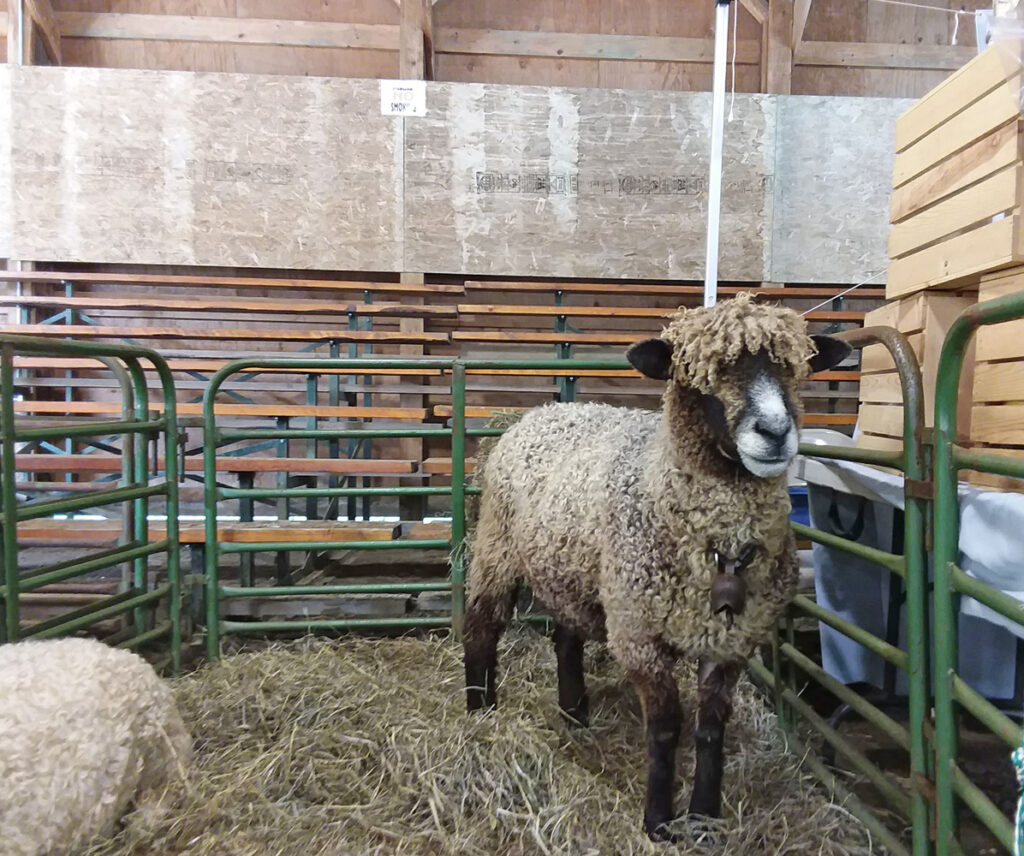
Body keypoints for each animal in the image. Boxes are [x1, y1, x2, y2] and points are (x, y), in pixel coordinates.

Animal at [462, 293, 850, 840]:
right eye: (698, 374)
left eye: (795, 369)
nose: (775, 432)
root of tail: (545, 410)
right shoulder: (639, 635)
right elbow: (665, 728)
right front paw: (658, 823)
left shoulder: (732, 640)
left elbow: (711, 728)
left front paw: (704, 816)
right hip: (496, 546)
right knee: (482, 624)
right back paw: (481, 712)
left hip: (574, 568)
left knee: (566, 637)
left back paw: (574, 712)